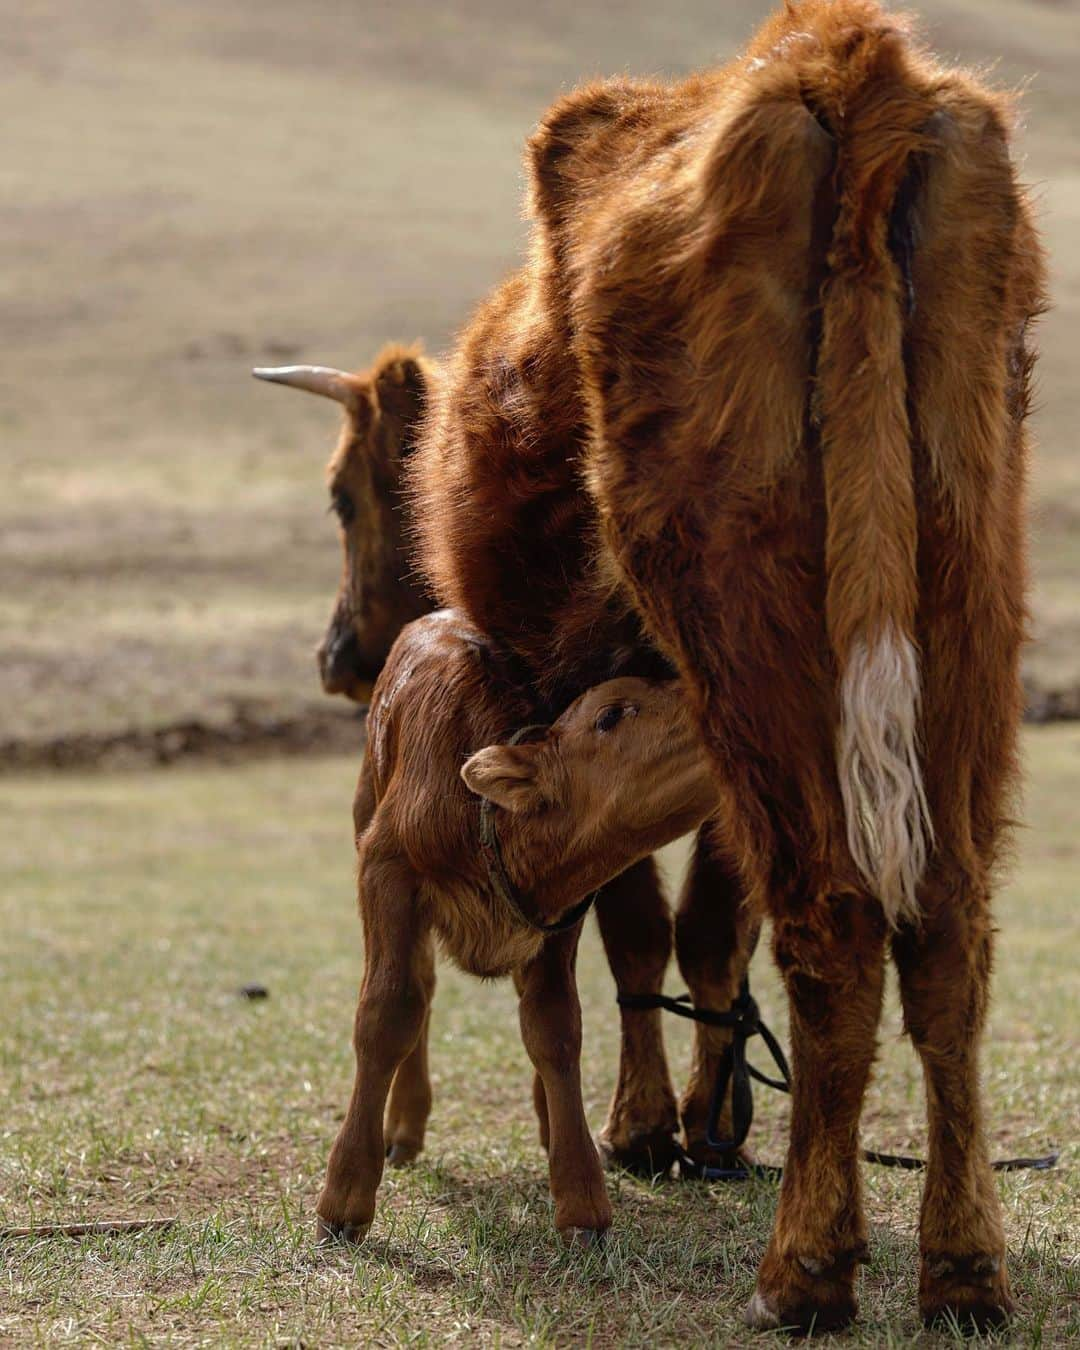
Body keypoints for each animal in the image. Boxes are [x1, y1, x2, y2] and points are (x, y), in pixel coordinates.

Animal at [311, 612, 718, 1242]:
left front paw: (581, 1198)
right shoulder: (386, 871)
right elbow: (387, 1013)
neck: (485, 819)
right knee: (420, 988)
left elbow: (554, 1026)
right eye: (610, 714)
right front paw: (345, 1194)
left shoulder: (559, 911)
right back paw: (403, 1125)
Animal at [407, 0, 1047, 1328]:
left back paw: (804, 1271)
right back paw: (962, 1268)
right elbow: (702, 914)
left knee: (836, 917)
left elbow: (634, 914)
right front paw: (705, 1125)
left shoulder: (599, 701)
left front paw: (652, 1130)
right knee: (947, 930)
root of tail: (847, 59)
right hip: (966, 589)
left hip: (744, 603)